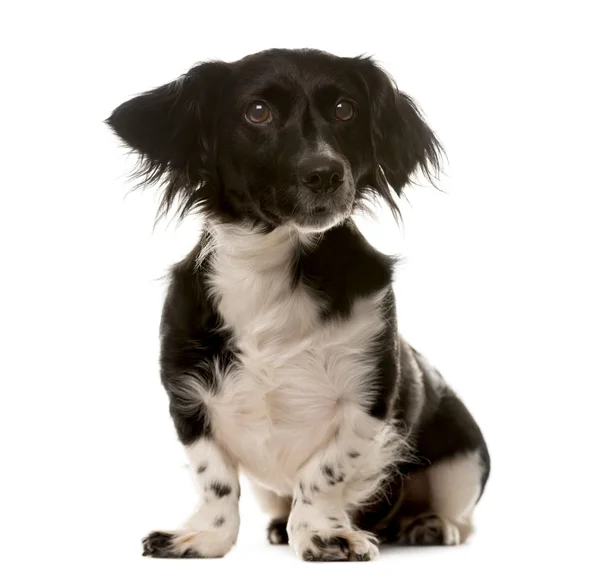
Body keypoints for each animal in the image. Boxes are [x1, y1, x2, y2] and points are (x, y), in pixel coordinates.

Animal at [108, 47, 490, 560]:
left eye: (345, 109)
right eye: (257, 112)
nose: (325, 172)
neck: (274, 262)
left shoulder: (368, 396)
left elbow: (324, 474)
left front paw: (323, 534)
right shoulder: (188, 396)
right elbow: (215, 479)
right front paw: (204, 537)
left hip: (464, 458)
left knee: (458, 515)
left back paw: (427, 522)